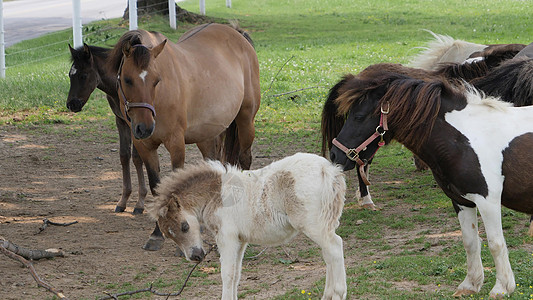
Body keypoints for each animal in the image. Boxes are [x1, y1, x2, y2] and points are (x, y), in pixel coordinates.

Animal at [107, 23, 260, 250]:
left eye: (156, 80)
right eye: (127, 80)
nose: (145, 128)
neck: (160, 98)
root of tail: (237, 34)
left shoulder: (176, 143)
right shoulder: (145, 146)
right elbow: (156, 187)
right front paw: (156, 234)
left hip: (246, 120)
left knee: (245, 159)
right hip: (207, 135)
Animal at [145, 154, 348, 298]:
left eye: (185, 226)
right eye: (168, 235)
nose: (195, 256)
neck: (215, 194)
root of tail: (328, 170)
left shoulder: (226, 238)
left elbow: (226, 274)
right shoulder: (240, 241)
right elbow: (236, 274)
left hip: (313, 225)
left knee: (335, 246)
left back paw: (339, 292)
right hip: (325, 223)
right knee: (329, 255)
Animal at [322, 63, 532, 298]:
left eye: (359, 116)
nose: (335, 155)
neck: (464, 140)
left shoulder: (488, 201)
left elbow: (496, 243)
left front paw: (502, 288)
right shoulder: (462, 201)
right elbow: (470, 242)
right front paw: (470, 284)